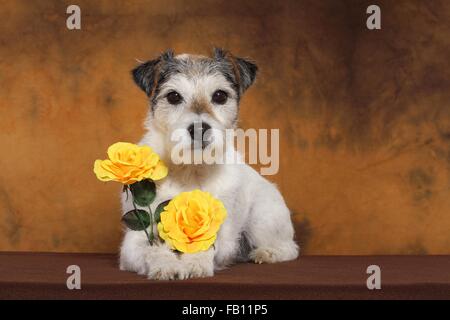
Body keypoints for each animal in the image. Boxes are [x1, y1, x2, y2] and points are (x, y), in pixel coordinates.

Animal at [119, 48, 298, 280]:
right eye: (173, 96)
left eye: (220, 95)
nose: (199, 128)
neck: (191, 169)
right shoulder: (136, 239)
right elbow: (152, 250)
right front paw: (165, 264)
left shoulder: (220, 235)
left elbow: (206, 247)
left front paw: (195, 263)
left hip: (263, 219)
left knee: (290, 248)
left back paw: (267, 253)